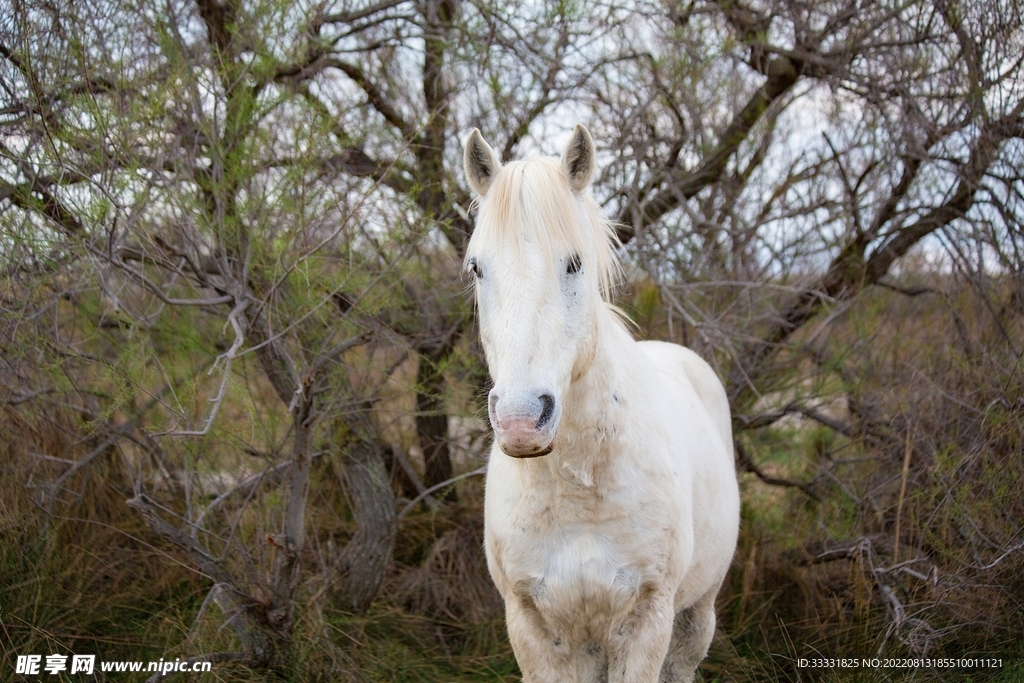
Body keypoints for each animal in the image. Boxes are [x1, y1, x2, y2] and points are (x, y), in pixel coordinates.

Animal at [462, 124, 740, 683]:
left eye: (574, 263)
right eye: (478, 268)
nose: (521, 420)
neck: (578, 490)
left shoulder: (647, 623)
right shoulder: (532, 629)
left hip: (696, 615)